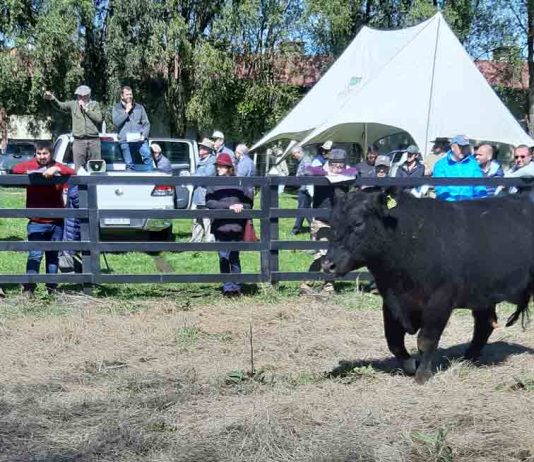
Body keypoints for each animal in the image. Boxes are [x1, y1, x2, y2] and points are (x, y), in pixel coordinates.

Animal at [324, 189, 532, 384]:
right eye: (332, 223)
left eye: (358, 223)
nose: (328, 264)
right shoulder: (391, 300)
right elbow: (393, 340)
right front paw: (410, 365)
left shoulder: (439, 300)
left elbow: (426, 340)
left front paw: (423, 375)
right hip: (482, 295)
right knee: (484, 325)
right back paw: (467, 359)